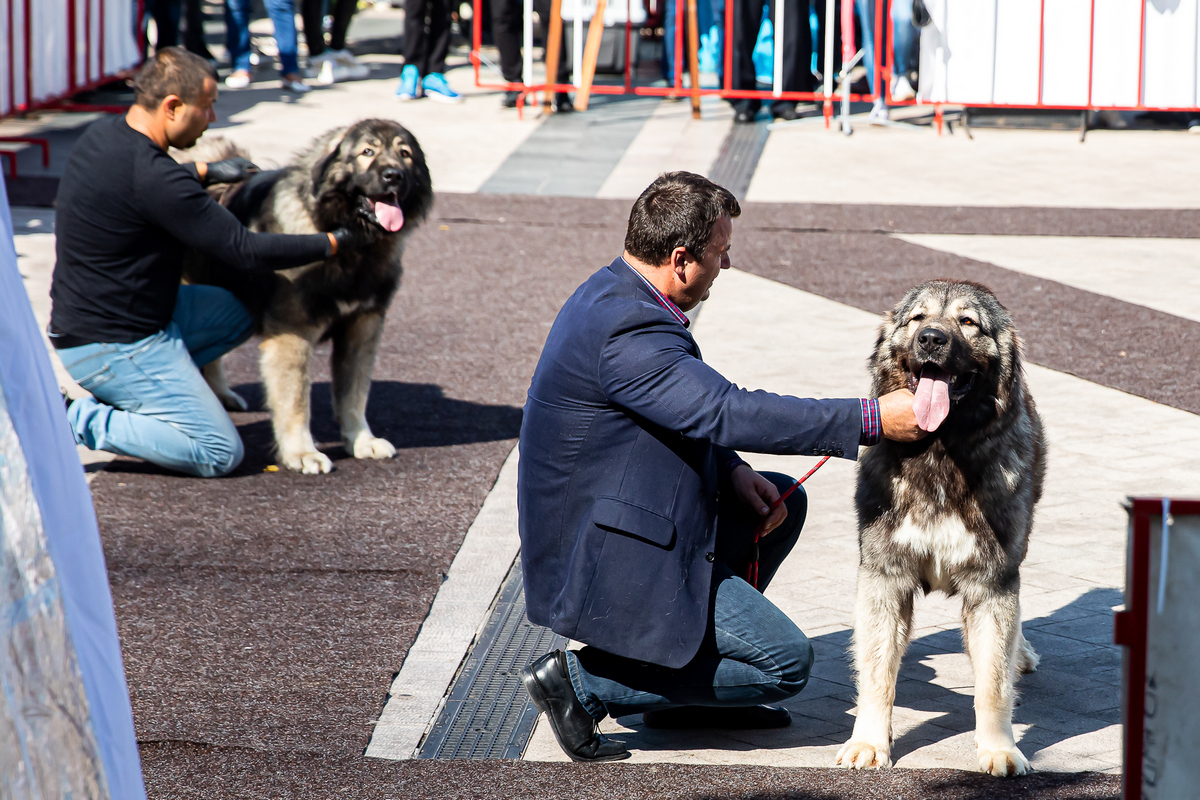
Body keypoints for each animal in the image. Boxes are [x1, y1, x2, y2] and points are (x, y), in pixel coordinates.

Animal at [177, 118, 432, 474]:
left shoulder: (364, 325)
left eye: (405, 154)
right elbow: (296, 400)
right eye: (367, 152)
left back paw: (222, 395)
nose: (393, 175)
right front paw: (302, 453)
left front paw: (361, 441)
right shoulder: (292, 334)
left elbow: (354, 394)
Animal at [835, 280, 1051, 777]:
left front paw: (999, 750)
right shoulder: (884, 577)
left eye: (967, 322)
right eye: (917, 318)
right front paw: (868, 744)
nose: (931, 338)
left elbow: (993, 683)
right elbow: (877, 673)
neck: (940, 453)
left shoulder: (992, 583)